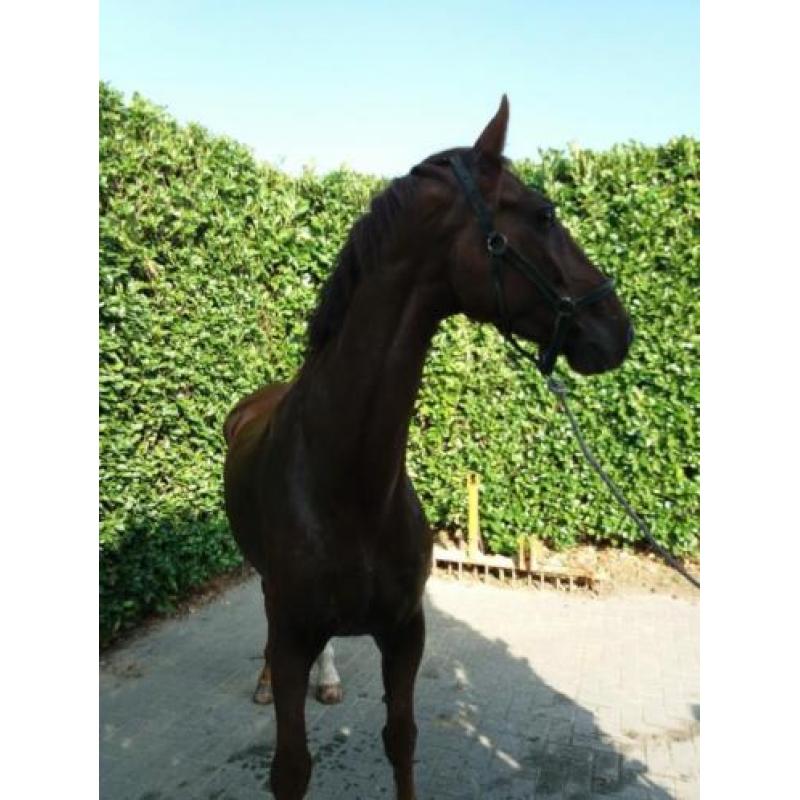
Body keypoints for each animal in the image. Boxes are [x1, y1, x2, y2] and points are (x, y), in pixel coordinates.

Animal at [223, 96, 632, 800]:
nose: (619, 327)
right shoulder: (293, 632)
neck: (348, 484)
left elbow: (402, 739)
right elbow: (291, 766)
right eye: (543, 213)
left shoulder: (404, 631)